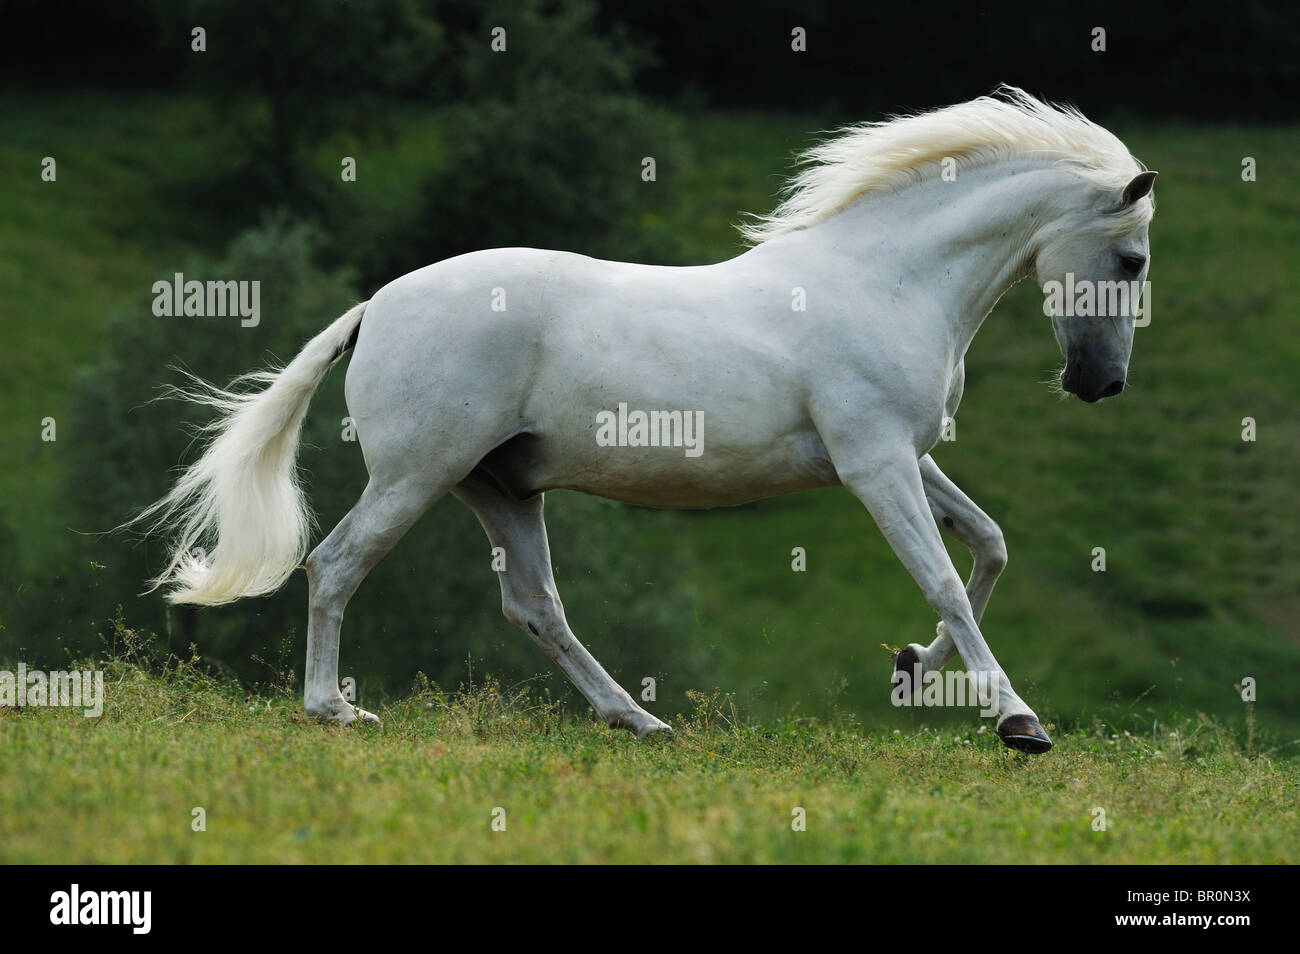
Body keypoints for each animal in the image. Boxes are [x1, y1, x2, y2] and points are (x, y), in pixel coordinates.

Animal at [136, 87, 1155, 753]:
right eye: (1134, 260)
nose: (1100, 385)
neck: (889, 280)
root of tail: (375, 306)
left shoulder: (900, 456)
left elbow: (988, 546)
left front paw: (911, 667)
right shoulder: (874, 462)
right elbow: (946, 575)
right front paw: (1017, 721)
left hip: (501, 488)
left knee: (535, 606)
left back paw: (639, 719)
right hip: (419, 473)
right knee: (336, 564)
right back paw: (333, 711)